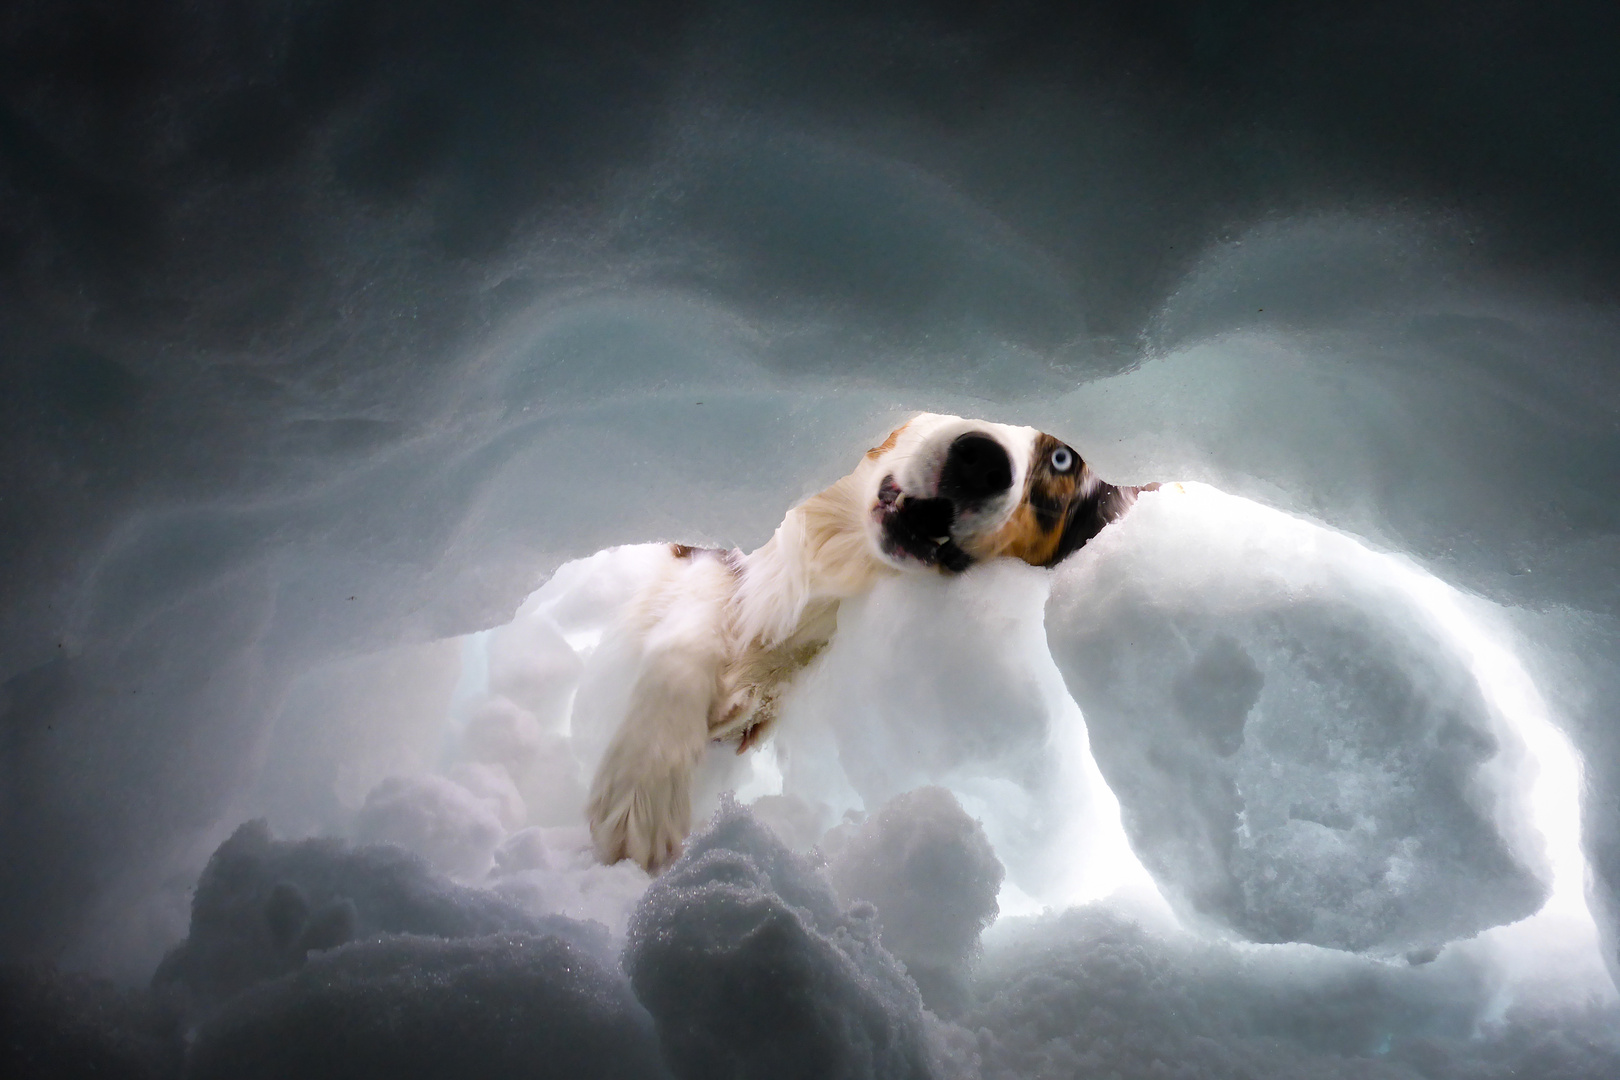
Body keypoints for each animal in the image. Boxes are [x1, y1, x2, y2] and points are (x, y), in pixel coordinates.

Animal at [583, 409, 1153, 874]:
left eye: (1062, 458)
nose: (981, 463)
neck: (850, 549)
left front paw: (754, 693)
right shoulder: (710, 551)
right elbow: (688, 633)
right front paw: (641, 792)